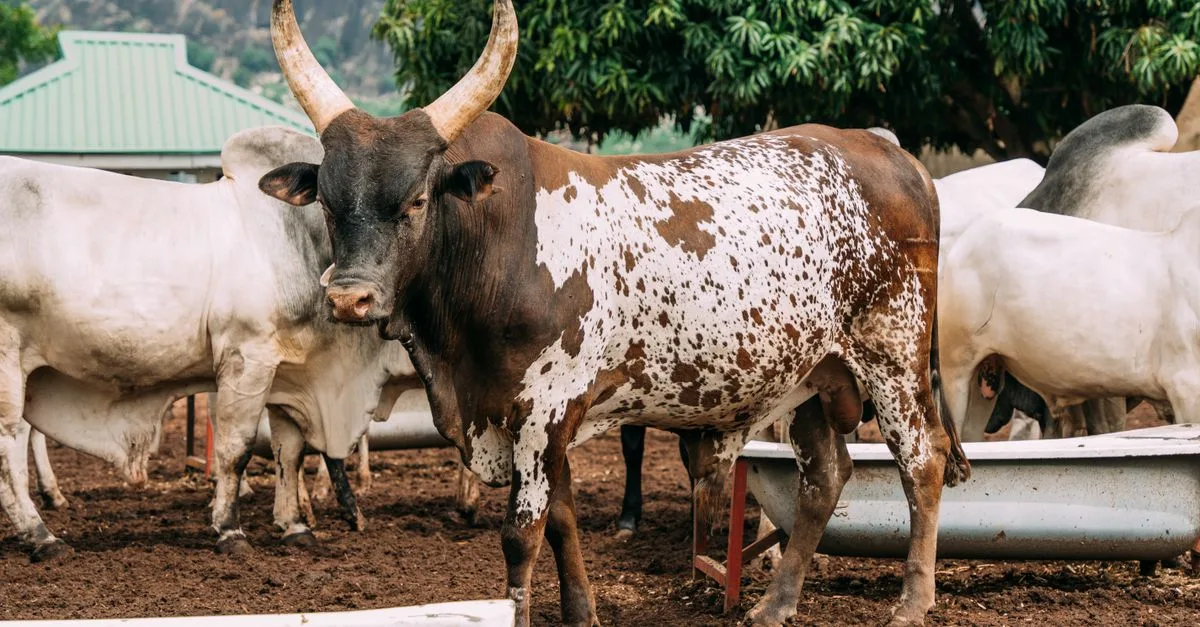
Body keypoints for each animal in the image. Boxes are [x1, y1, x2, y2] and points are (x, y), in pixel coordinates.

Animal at [0, 126, 424, 561]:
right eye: (330, 201)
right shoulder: (247, 359)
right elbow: (236, 448)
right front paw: (230, 529)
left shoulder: (290, 373)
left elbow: (289, 451)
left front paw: (294, 526)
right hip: (8, 357)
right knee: (10, 443)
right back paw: (41, 536)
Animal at [257, 2, 969, 625]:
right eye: (327, 202)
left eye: (416, 200)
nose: (349, 296)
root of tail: (890, 152)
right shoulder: (541, 420)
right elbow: (563, 521)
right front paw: (582, 612)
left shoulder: (542, 410)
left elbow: (522, 533)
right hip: (812, 375)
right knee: (825, 476)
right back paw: (776, 604)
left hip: (892, 353)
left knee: (923, 461)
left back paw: (912, 603)